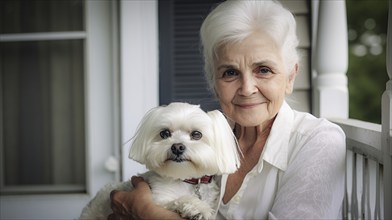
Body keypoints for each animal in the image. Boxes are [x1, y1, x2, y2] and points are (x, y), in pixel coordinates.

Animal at [79, 103, 239, 220]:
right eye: (164, 133)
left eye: (196, 134)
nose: (177, 147)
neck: (185, 179)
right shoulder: (159, 199)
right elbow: (177, 200)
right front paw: (197, 208)